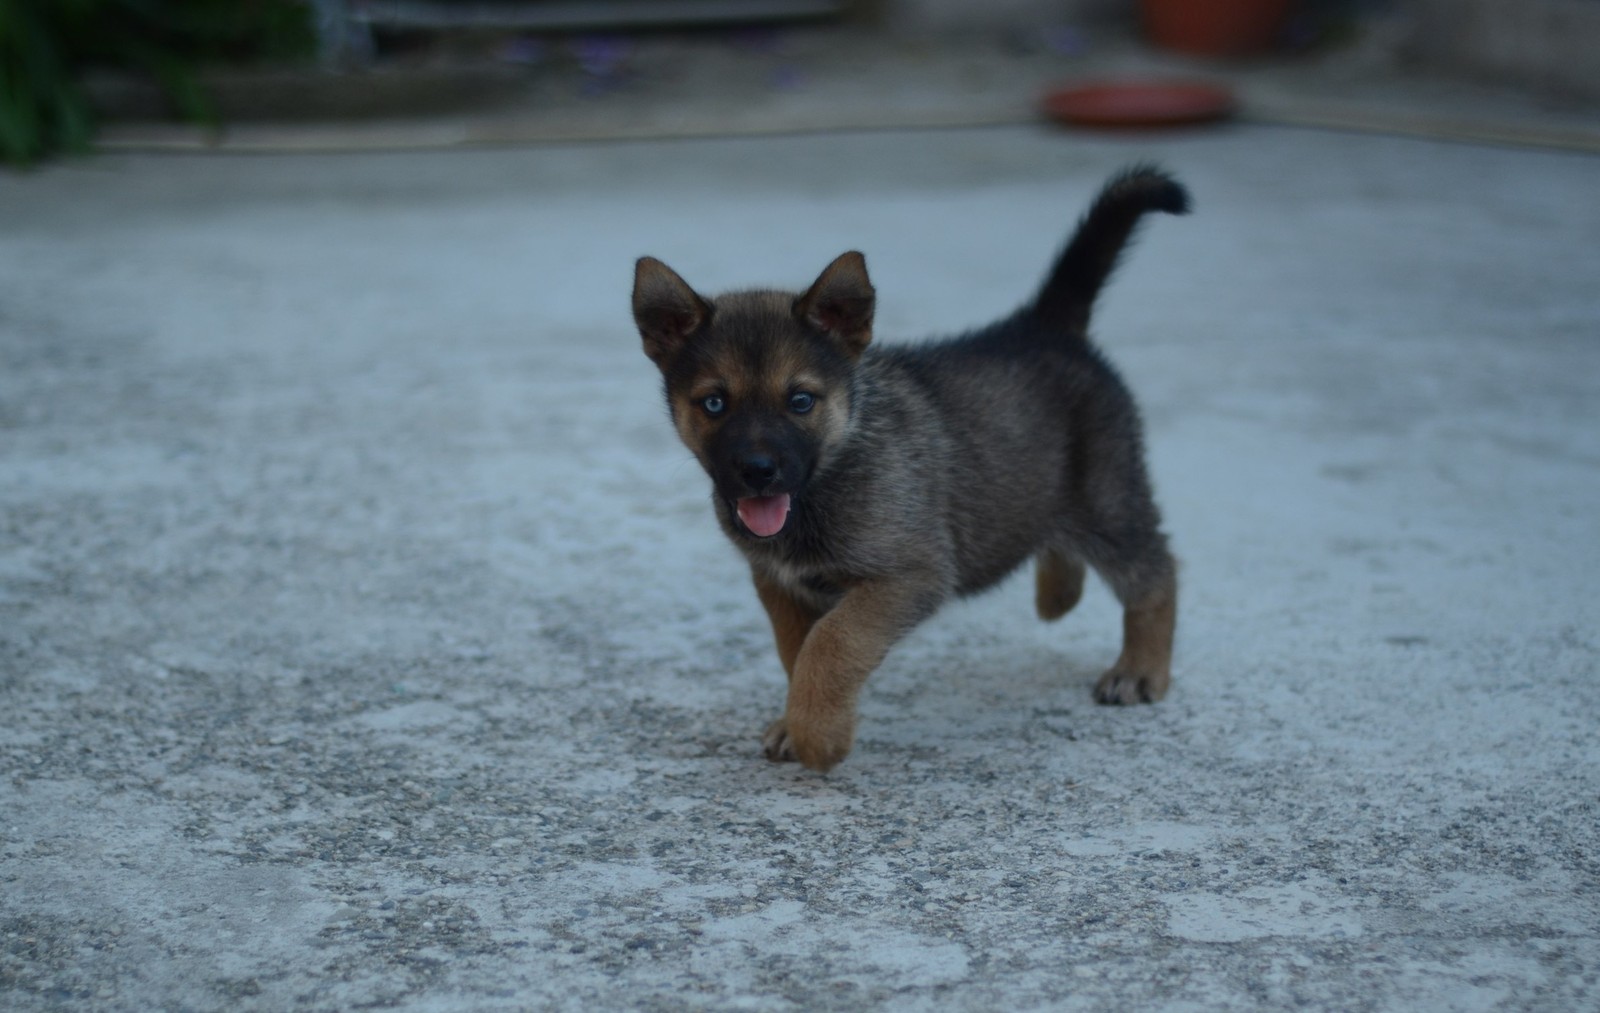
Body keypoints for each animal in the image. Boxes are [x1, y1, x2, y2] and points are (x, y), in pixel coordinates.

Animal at [633, 165, 1190, 771]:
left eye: (800, 401)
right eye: (714, 404)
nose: (758, 472)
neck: (834, 471)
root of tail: (1044, 326)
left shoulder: (908, 575)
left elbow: (831, 642)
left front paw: (817, 736)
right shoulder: (778, 582)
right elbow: (795, 650)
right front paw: (796, 721)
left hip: (1108, 499)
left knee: (1156, 571)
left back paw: (1140, 669)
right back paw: (1057, 595)